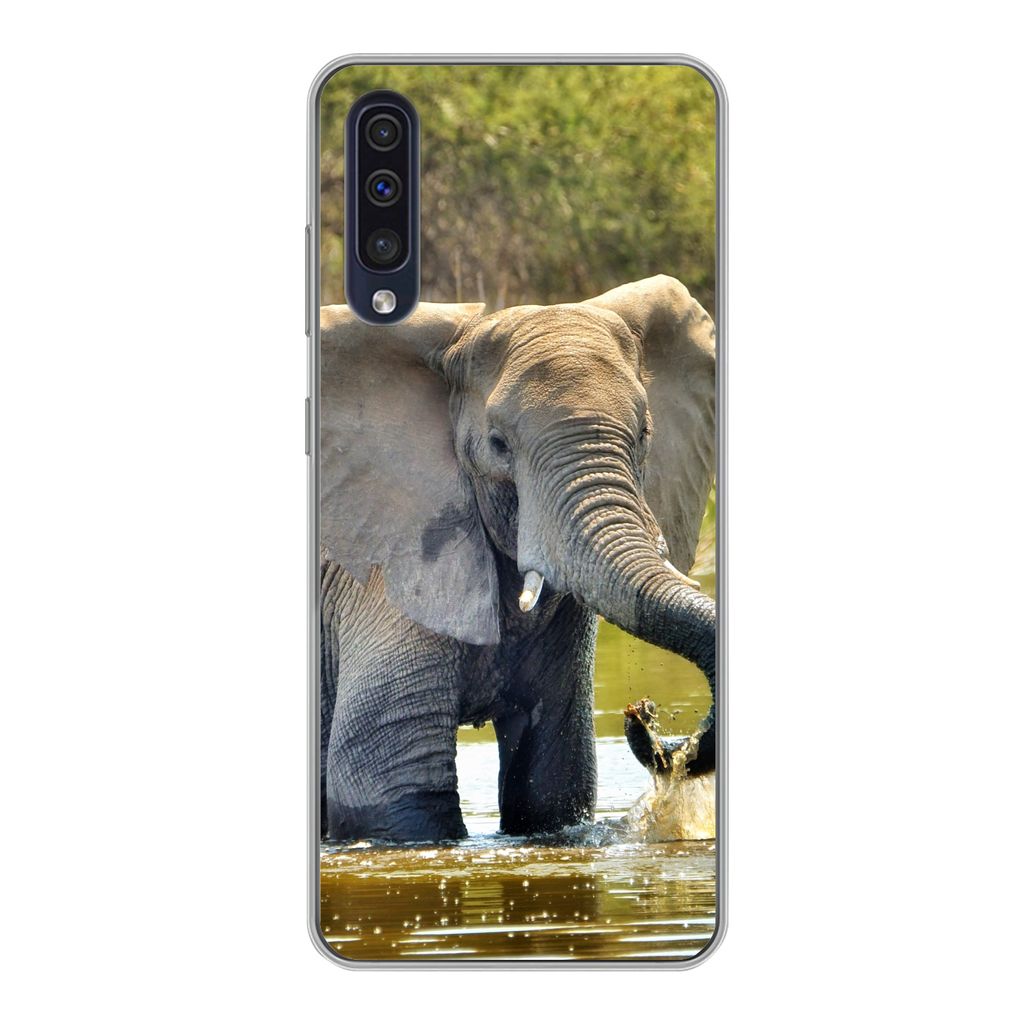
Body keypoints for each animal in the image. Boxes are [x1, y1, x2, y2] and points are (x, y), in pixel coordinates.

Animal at [319, 275, 717, 843]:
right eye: (498, 445)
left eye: (644, 434)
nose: (640, 713)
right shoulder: (384, 569)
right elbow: (390, 788)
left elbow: (552, 782)